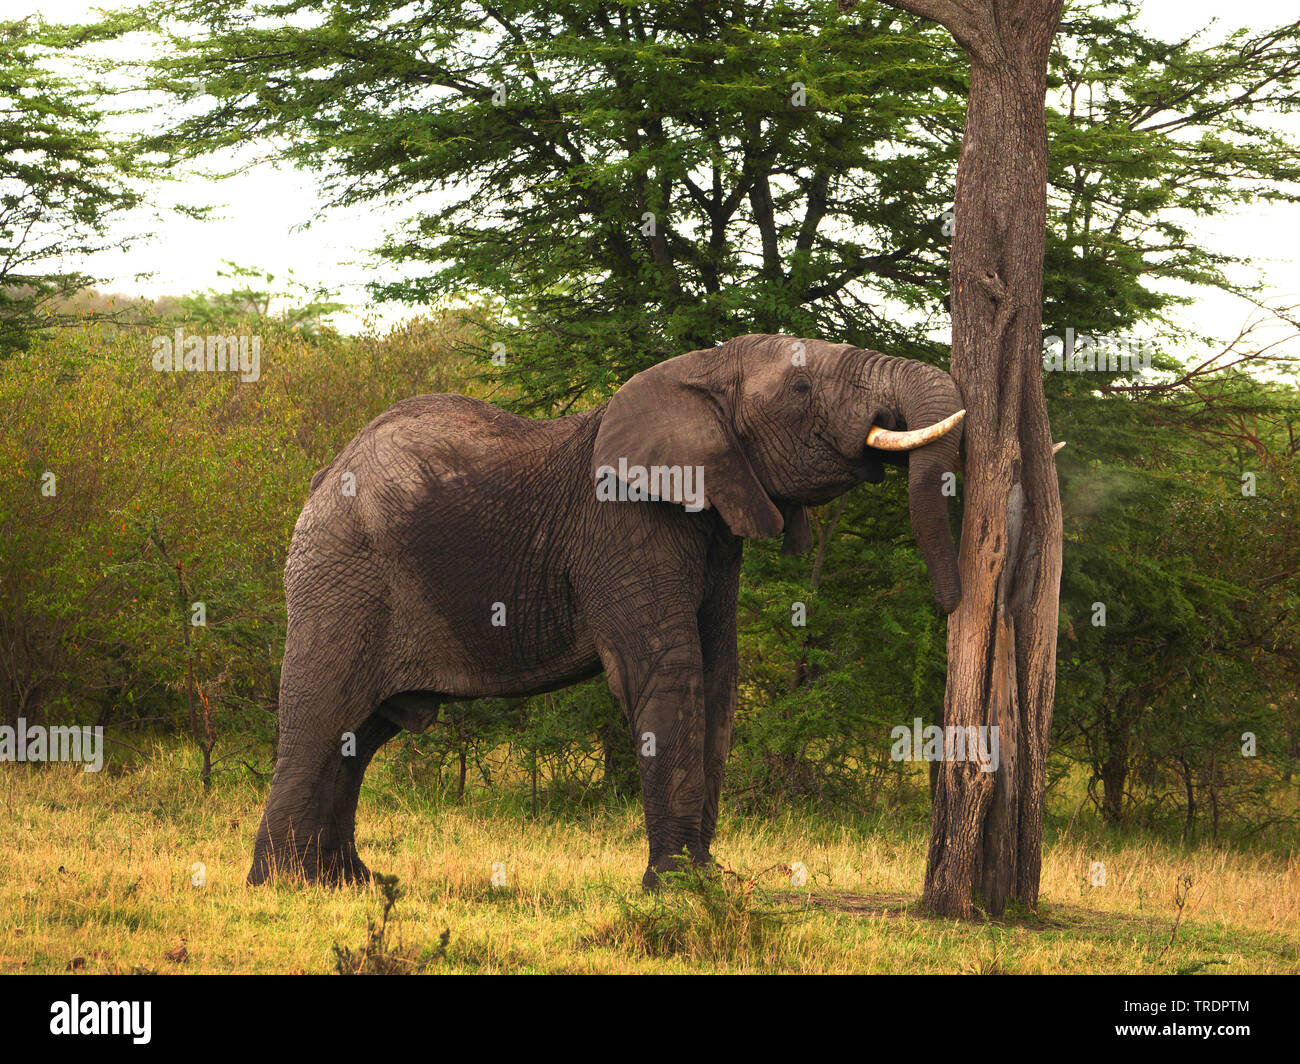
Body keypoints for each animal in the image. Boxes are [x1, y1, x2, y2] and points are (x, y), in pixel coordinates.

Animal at [248, 331, 961, 889]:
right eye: (802, 387)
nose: (952, 604)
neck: (702, 368)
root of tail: (322, 476)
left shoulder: (714, 536)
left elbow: (719, 677)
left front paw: (709, 881)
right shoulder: (623, 528)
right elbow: (670, 672)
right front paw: (676, 889)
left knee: (360, 735)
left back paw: (353, 884)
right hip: (342, 577)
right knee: (323, 714)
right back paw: (283, 886)